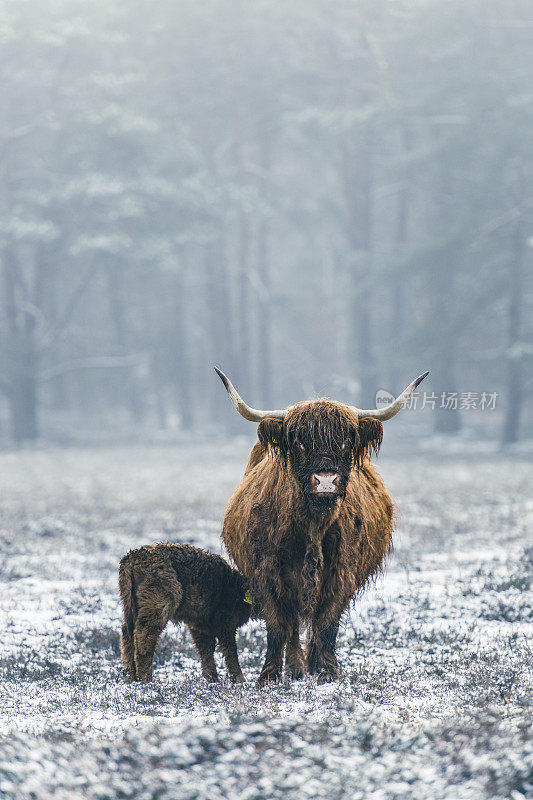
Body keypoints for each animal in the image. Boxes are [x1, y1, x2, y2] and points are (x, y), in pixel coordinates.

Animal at [120, 544, 251, 680]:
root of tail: (132, 557)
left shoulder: (199, 623)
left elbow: (206, 650)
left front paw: (211, 678)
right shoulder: (225, 623)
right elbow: (230, 650)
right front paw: (239, 679)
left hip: (130, 606)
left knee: (127, 633)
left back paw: (129, 677)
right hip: (157, 606)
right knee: (144, 636)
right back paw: (145, 678)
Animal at [214, 366, 426, 684]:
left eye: (346, 440)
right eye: (299, 441)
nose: (326, 481)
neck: (312, 527)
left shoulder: (342, 573)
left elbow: (326, 622)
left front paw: (327, 672)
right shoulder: (266, 574)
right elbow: (278, 625)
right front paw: (270, 675)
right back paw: (295, 668)